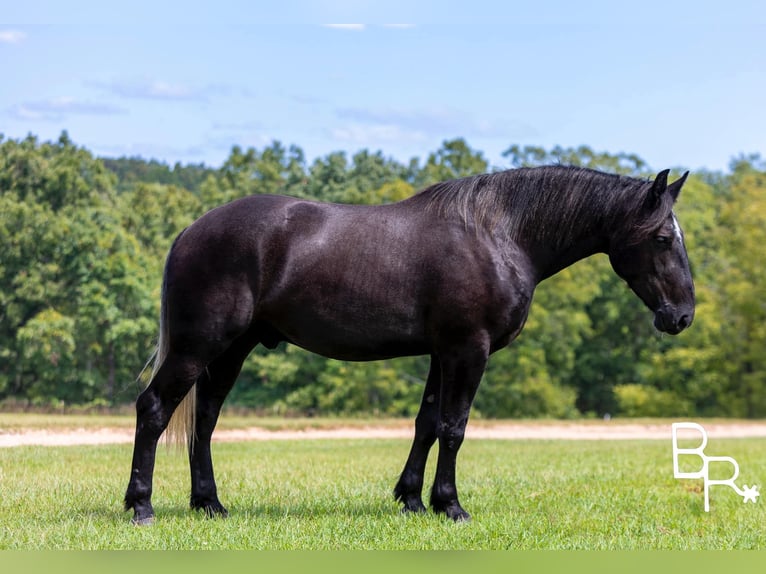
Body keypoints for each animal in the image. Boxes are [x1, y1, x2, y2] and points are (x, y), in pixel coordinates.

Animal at [124, 165, 694, 525]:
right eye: (662, 238)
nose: (682, 316)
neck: (498, 235)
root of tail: (190, 232)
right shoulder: (468, 349)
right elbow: (454, 427)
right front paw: (451, 505)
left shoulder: (442, 353)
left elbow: (426, 423)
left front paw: (412, 500)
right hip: (199, 347)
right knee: (153, 409)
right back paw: (141, 506)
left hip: (230, 351)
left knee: (204, 420)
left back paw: (209, 504)